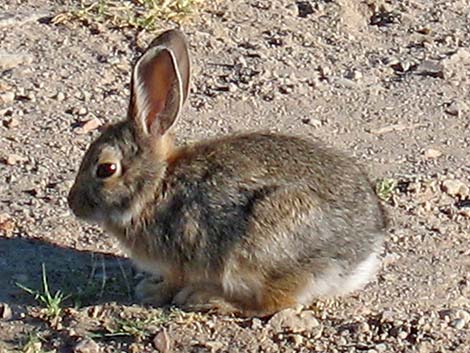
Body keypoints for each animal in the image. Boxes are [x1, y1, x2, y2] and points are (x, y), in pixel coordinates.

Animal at [68, 28, 388, 314]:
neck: (156, 188)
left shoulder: (179, 258)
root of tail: (362, 253)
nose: (73, 204)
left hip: (262, 247)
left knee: (272, 303)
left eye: (106, 169)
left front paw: (151, 292)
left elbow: (173, 283)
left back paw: (209, 299)